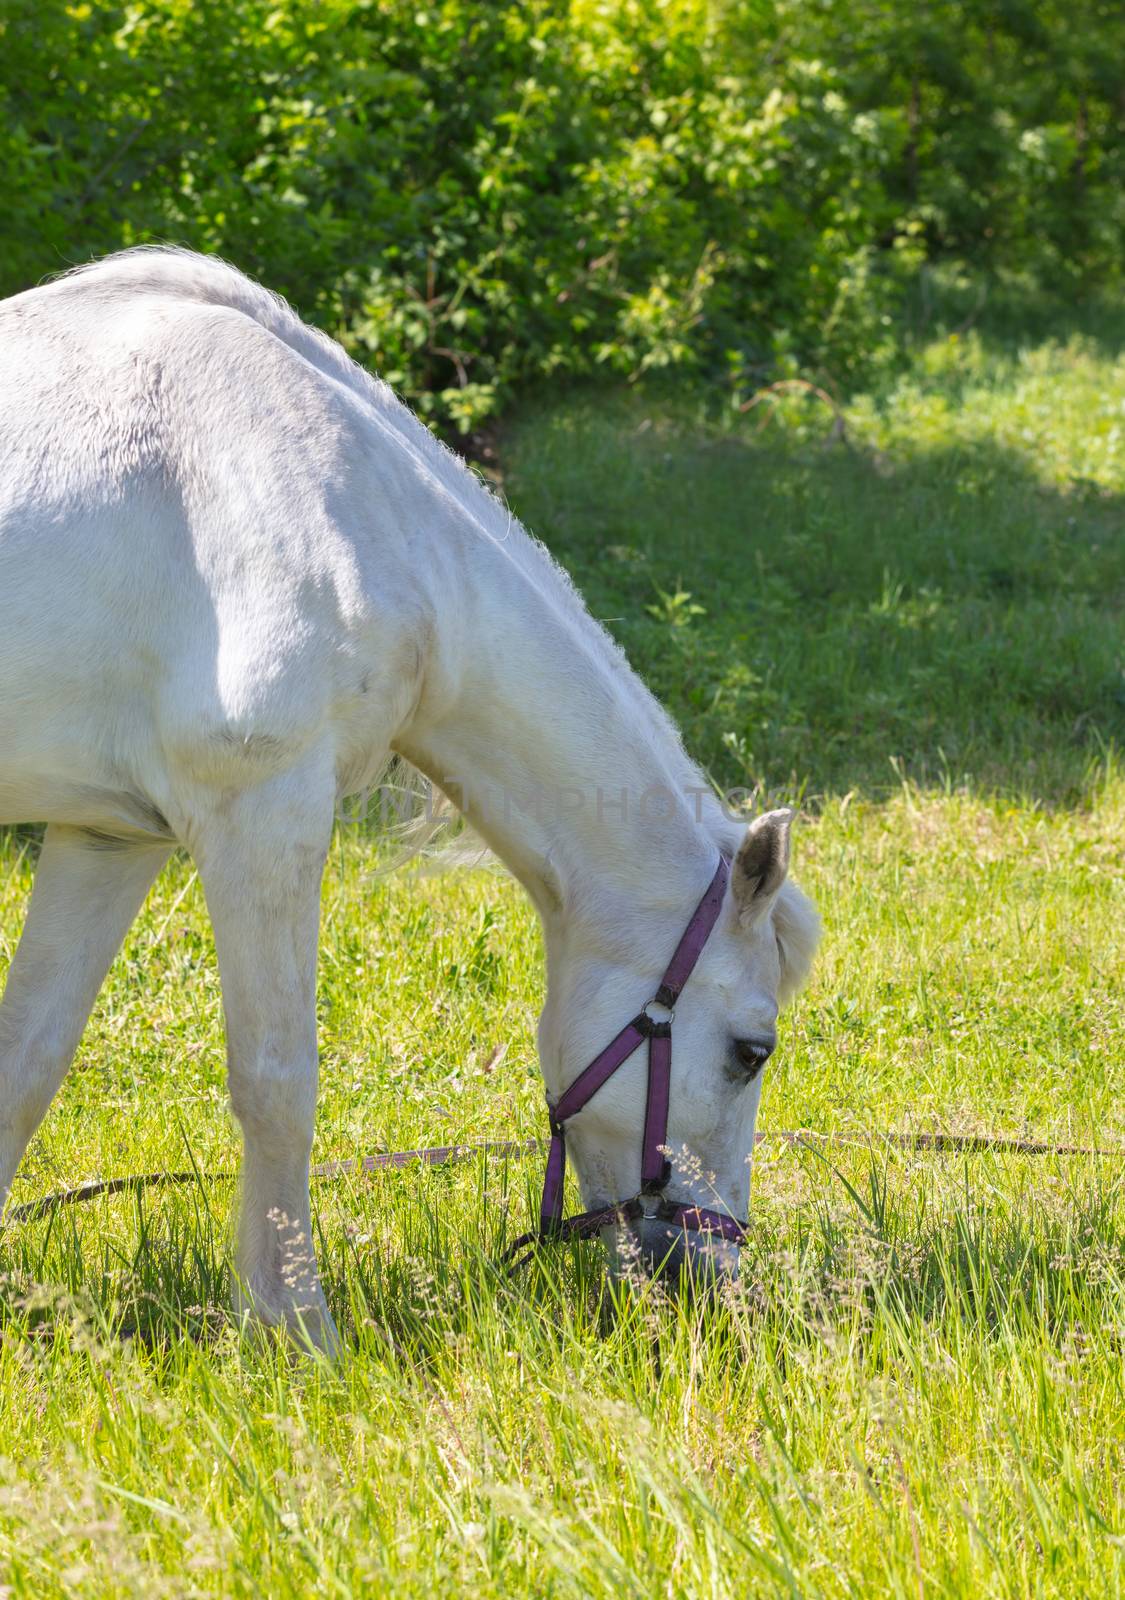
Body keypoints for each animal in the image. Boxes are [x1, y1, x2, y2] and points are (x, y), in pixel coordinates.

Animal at [0, 252, 819, 1350]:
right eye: (748, 1051)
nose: (710, 1278)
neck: (345, 506)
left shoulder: (107, 833)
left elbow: (28, 1060)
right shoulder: (264, 817)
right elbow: (277, 1081)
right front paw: (294, 1327)